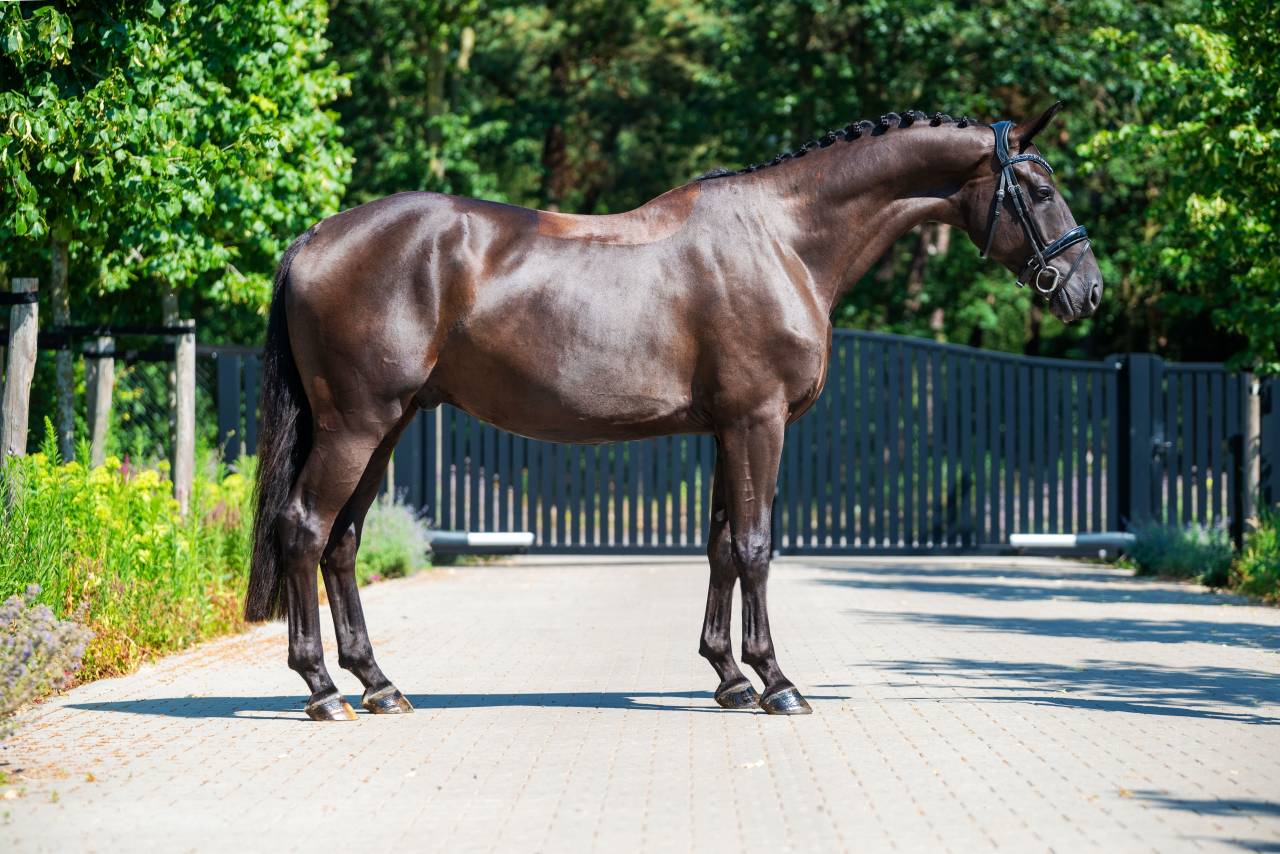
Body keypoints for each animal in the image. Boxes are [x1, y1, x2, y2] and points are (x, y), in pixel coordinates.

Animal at [245, 102, 1102, 720]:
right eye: (1041, 188)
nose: (1087, 290)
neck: (785, 238)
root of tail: (316, 237)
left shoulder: (728, 429)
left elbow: (721, 547)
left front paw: (728, 676)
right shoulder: (758, 423)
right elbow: (756, 546)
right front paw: (777, 682)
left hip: (388, 426)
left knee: (343, 543)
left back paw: (378, 684)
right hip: (358, 425)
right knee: (305, 529)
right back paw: (322, 690)